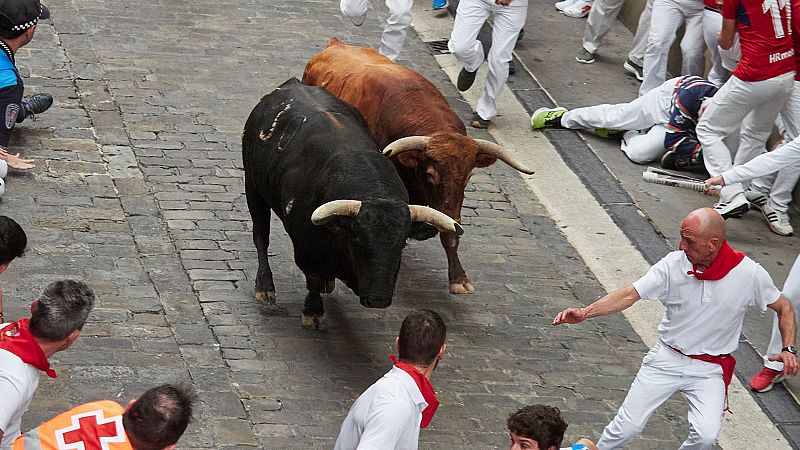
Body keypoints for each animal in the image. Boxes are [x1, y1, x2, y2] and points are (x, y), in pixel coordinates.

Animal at [242, 79, 462, 328]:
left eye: (403, 243)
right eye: (357, 239)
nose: (378, 299)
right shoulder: (305, 248)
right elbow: (313, 279)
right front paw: (313, 312)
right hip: (253, 188)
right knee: (261, 236)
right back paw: (265, 287)